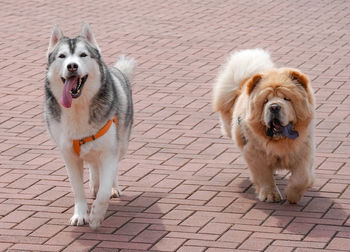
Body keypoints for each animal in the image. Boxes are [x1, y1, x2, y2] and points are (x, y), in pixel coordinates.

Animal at [44, 22, 135, 229]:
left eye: (83, 55)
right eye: (62, 56)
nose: (72, 66)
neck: (78, 107)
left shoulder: (110, 152)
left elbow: (104, 191)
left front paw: (96, 216)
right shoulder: (70, 156)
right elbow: (78, 190)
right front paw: (80, 214)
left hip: (122, 144)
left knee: (111, 169)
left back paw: (112, 188)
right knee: (94, 165)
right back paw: (94, 183)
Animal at [212, 48, 316, 203]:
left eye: (286, 99)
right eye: (265, 101)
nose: (274, 107)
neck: (280, 141)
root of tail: (244, 82)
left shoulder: (304, 152)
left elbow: (302, 177)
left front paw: (293, 195)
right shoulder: (255, 154)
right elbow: (264, 177)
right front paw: (270, 195)